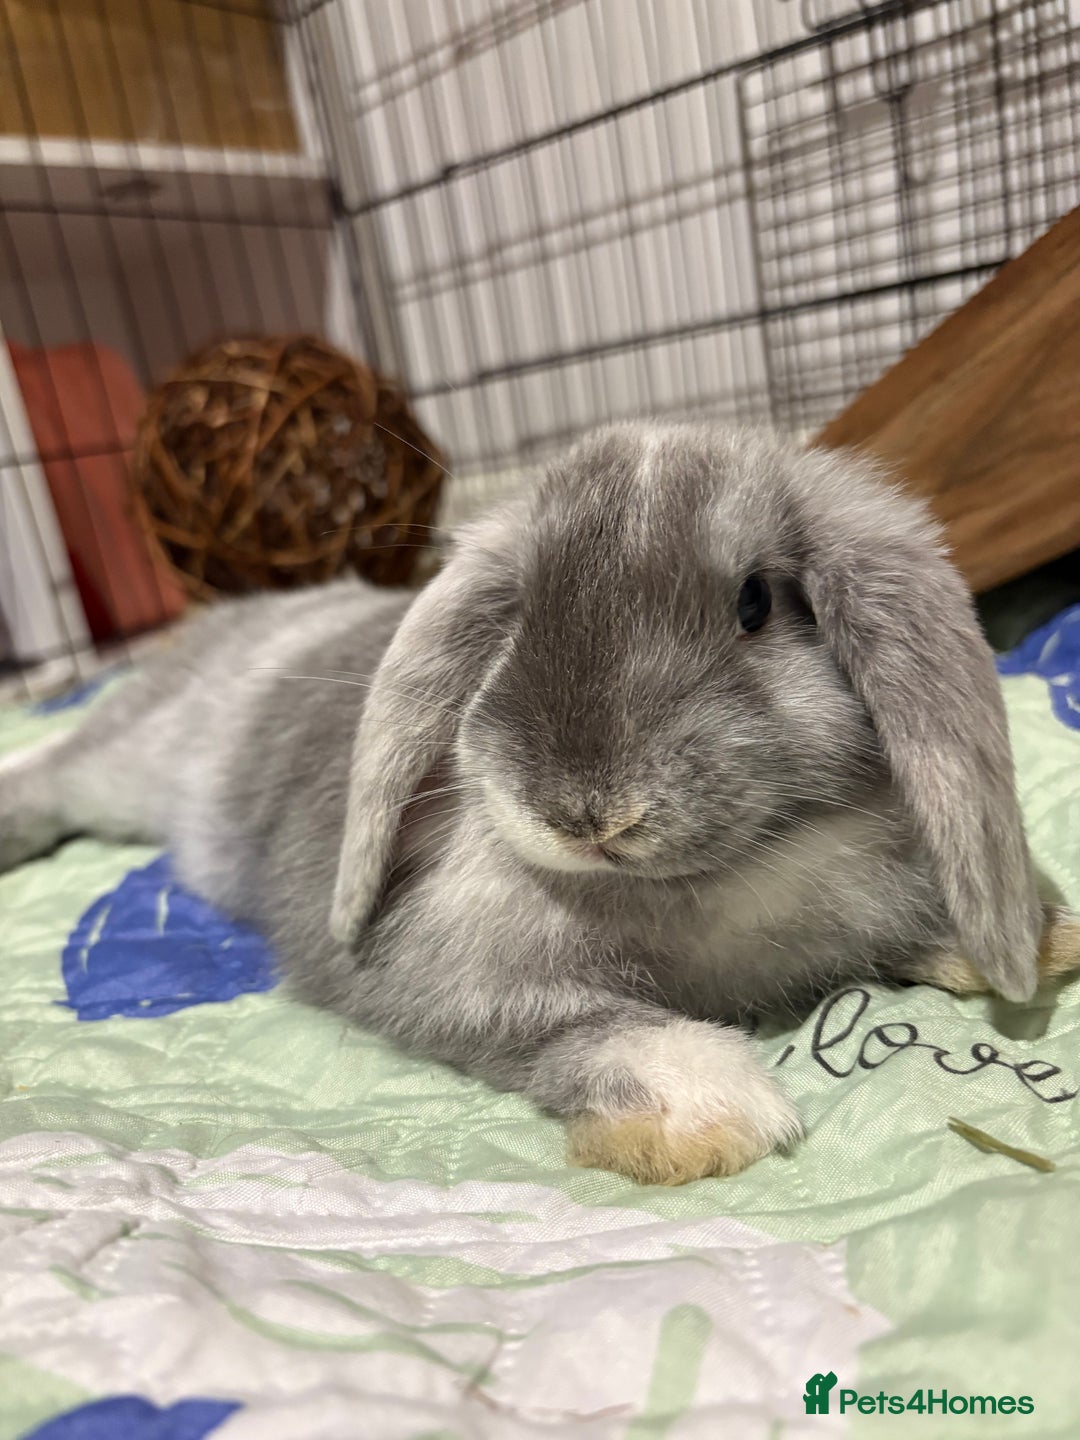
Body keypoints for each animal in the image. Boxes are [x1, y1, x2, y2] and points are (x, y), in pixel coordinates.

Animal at [1, 421, 1066, 1185]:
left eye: (756, 603)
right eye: (515, 618)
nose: (587, 812)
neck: (716, 881)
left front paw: (1038, 935)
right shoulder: (452, 987)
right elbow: (582, 1028)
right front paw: (710, 1113)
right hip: (128, 762)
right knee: (56, 761)